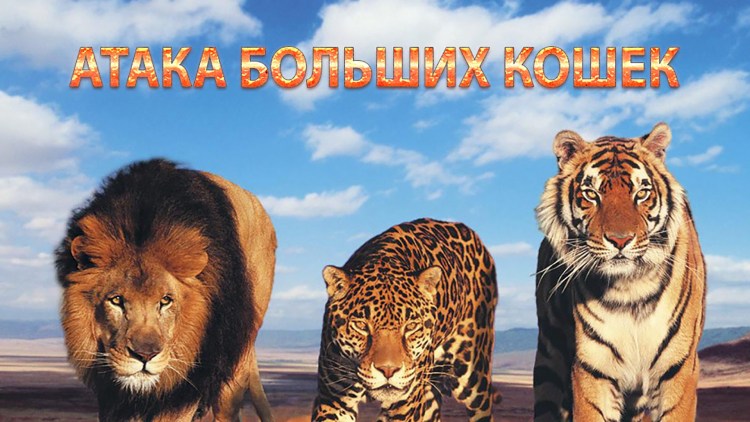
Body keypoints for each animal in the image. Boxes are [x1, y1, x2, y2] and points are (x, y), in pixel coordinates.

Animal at [533, 122, 706, 421]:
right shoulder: (593, 369)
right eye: (591, 194)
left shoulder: (679, 367)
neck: (631, 288)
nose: (620, 240)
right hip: (548, 361)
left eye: (642, 193)